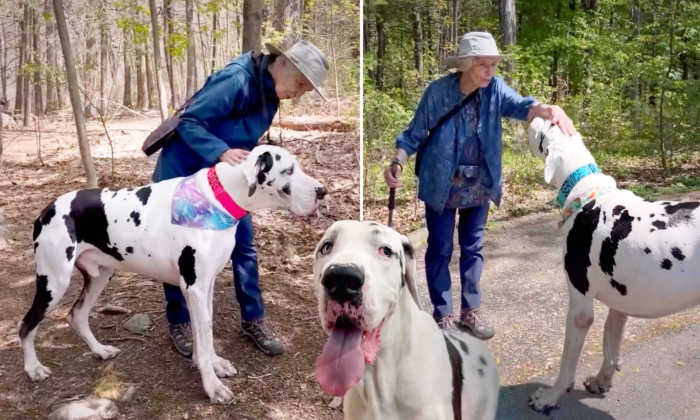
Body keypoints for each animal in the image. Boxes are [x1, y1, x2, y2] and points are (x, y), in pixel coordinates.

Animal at [20, 144, 326, 404]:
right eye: (288, 170)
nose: (322, 191)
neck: (218, 198)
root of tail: (45, 210)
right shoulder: (194, 288)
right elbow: (202, 338)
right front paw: (212, 386)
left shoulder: (206, 286)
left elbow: (207, 333)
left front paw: (214, 363)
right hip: (54, 282)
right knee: (26, 325)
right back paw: (33, 368)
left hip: (100, 276)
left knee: (77, 315)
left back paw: (99, 350)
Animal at [528, 117, 696, 410]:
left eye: (546, 126)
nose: (534, 114)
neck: (589, 197)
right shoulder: (620, 302)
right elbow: (610, 343)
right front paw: (601, 379)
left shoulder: (580, 308)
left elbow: (567, 363)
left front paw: (551, 395)